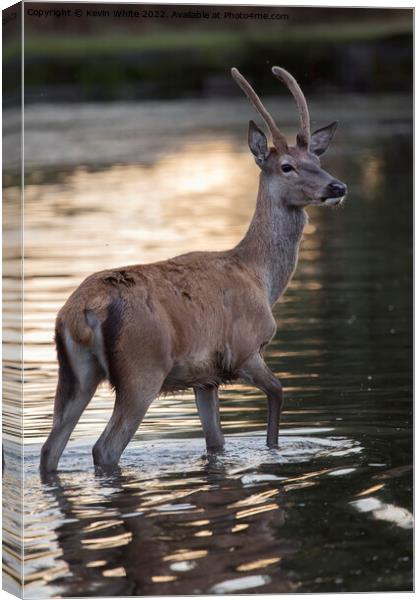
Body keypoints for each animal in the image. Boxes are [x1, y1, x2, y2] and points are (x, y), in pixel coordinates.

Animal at [40, 67, 348, 474]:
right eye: (287, 166)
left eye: (318, 159)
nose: (337, 186)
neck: (260, 277)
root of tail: (82, 310)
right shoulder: (245, 348)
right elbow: (279, 392)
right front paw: (273, 452)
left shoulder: (205, 378)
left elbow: (216, 443)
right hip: (141, 369)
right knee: (104, 448)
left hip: (74, 373)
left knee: (50, 449)